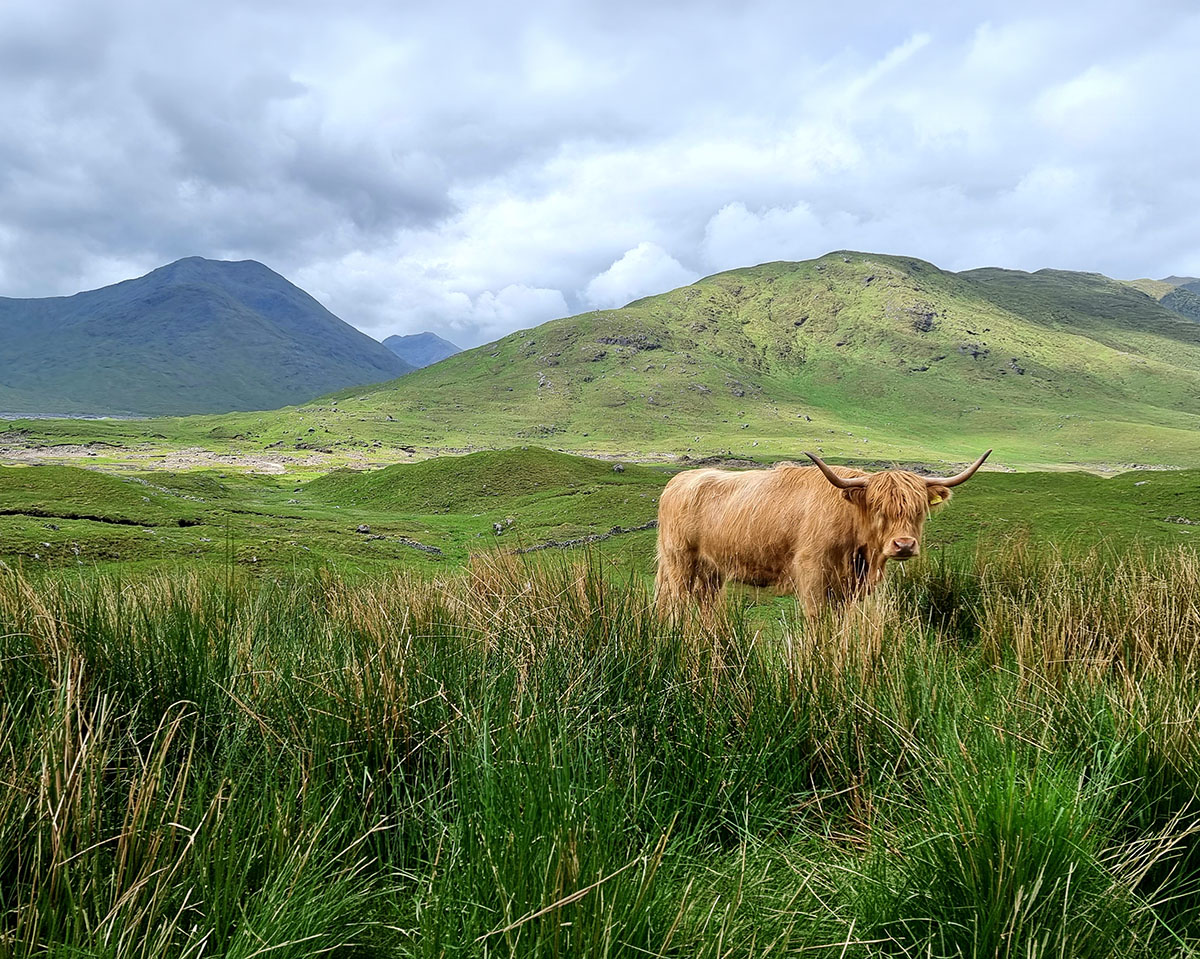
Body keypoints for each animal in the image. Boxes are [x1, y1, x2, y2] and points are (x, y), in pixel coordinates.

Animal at [654, 450, 991, 617]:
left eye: (918, 509)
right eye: (878, 507)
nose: (904, 544)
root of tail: (680, 480)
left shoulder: (849, 589)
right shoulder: (811, 574)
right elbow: (818, 623)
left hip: (711, 572)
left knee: (706, 607)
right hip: (679, 563)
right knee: (676, 605)